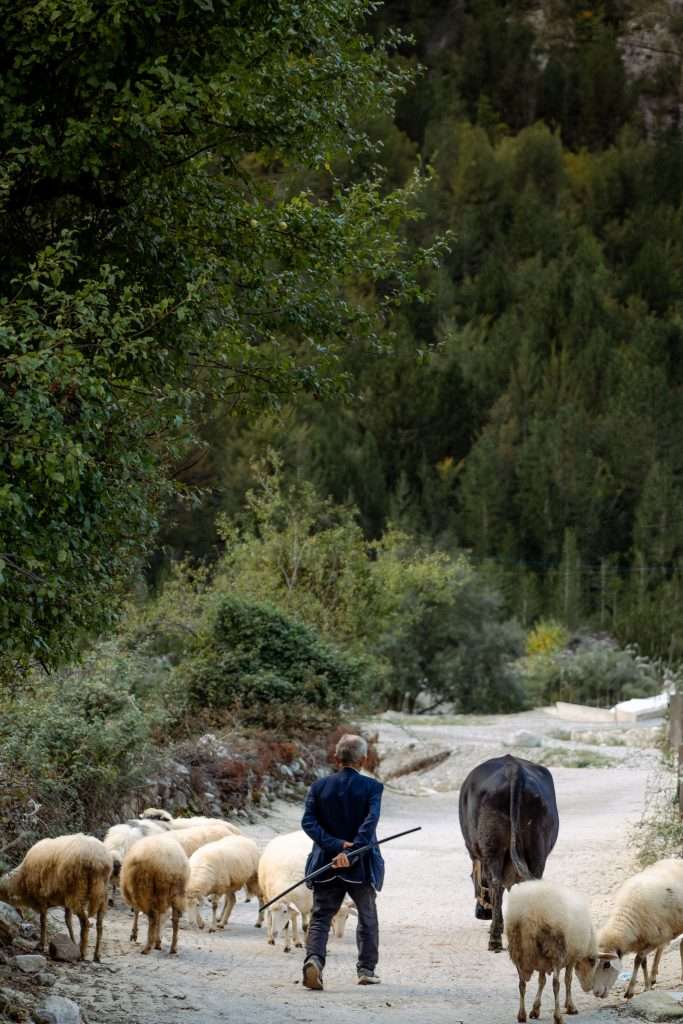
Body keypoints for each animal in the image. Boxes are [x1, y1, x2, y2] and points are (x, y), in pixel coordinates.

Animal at [458, 753, 561, 950]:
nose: (480, 913)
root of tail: (514, 769)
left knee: (496, 883)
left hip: (493, 846)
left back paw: (495, 938)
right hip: (538, 846)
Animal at [501, 880, 598, 1024]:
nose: (589, 988)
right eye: (593, 963)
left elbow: (541, 981)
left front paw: (535, 1009)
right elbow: (568, 980)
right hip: (555, 950)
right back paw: (558, 1017)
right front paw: (570, 1006)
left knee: (521, 984)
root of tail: (529, 912)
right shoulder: (571, 958)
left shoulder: (542, 962)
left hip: (516, 949)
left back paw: (522, 1015)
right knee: (555, 984)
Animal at [593, 856, 683, 999]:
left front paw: (630, 990)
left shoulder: (654, 939)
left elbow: (638, 959)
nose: (596, 993)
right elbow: (643, 962)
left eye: (607, 965)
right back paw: (653, 977)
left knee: (679, 945)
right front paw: (647, 986)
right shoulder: (645, 940)